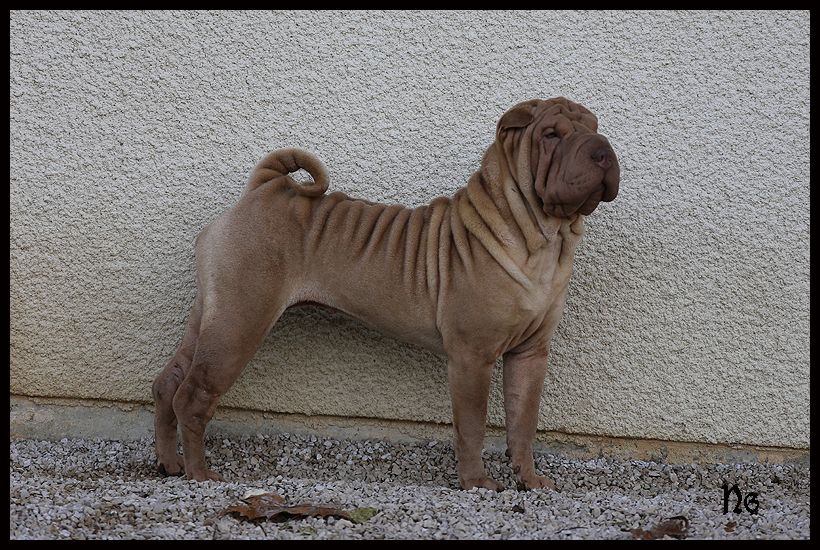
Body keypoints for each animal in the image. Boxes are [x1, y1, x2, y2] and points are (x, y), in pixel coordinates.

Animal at [152, 97, 620, 490]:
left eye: (595, 127)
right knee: (192, 396)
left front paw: (530, 480)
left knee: (167, 383)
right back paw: (199, 474)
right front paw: (477, 484)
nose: (603, 149)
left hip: (212, 316)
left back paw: (169, 463)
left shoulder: (530, 354)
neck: (545, 239)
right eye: (551, 135)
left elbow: (523, 422)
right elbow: (472, 425)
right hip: (239, 323)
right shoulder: (472, 356)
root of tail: (265, 188)